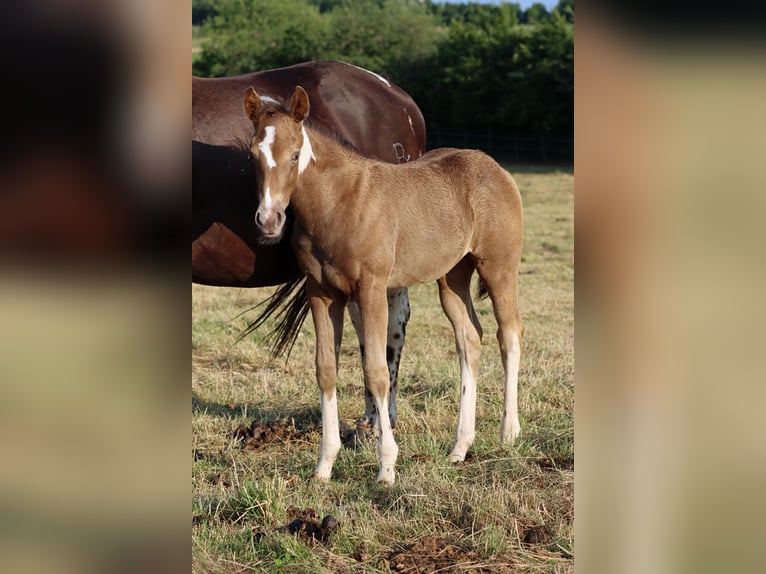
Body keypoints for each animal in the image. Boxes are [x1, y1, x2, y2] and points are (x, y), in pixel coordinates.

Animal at [193, 61, 427, 433]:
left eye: (295, 155)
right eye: (251, 156)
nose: (269, 219)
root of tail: (400, 98)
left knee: (388, 325)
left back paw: (378, 421)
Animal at [244, 86, 524, 485]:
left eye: (295, 154)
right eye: (253, 154)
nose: (269, 220)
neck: (337, 203)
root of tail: (494, 167)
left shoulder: (371, 290)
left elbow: (377, 373)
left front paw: (387, 467)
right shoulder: (321, 293)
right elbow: (325, 369)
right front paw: (324, 465)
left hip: (498, 267)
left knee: (509, 334)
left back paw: (509, 431)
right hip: (451, 277)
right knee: (470, 340)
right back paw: (460, 447)